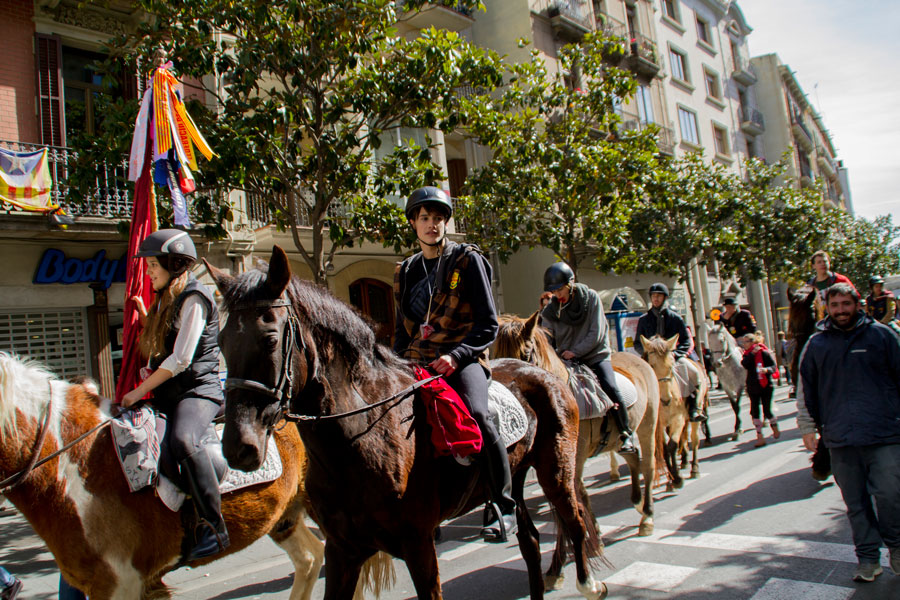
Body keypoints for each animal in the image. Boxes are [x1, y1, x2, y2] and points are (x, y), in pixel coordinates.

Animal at [207, 245, 608, 600]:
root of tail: (546, 375)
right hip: (519, 474)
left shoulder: (418, 545)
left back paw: (589, 584)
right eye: (221, 342)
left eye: (271, 339)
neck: (360, 438)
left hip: (556, 470)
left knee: (573, 521)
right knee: (531, 541)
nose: (238, 447)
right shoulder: (343, 550)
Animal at [640, 335, 709, 486]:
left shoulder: (678, 419)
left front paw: (677, 478)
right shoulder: (657, 425)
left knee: (694, 439)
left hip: (696, 410)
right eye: (651, 366)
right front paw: (672, 477)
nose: (666, 400)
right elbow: (665, 449)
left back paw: (694, 468)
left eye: (671, 366)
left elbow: (672, 445)